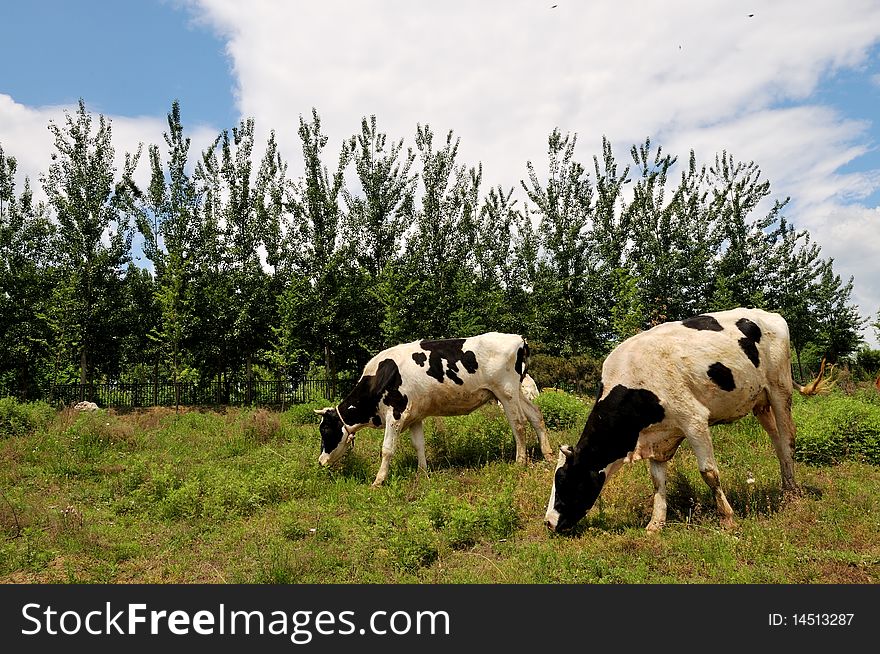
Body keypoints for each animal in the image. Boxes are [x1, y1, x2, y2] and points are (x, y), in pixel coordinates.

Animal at [314, 334, 552, 486]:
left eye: (325, 431)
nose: (320, 461)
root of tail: (518, 338)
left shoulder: (396, 413)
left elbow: (387, 448)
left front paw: (378, 480)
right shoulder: (414, 416)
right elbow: (419, 445)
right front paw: (423, 473)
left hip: (506, 391)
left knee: (518, 423)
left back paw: (520, 461)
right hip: (518, 391)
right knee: (535, 415)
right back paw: (548, 455)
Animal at [544, 310, 824, 536]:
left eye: (563, 481)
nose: (548, 523)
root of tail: (771, 315)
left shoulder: (694, 420)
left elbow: (709, 472)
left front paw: (727, 518)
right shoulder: (659, 438)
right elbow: (657, 481)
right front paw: (655, 524)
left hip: (780, 389)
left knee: (787, 438)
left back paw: (792, 495)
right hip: (760, 403)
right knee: (777, 443)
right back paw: (787, 488)